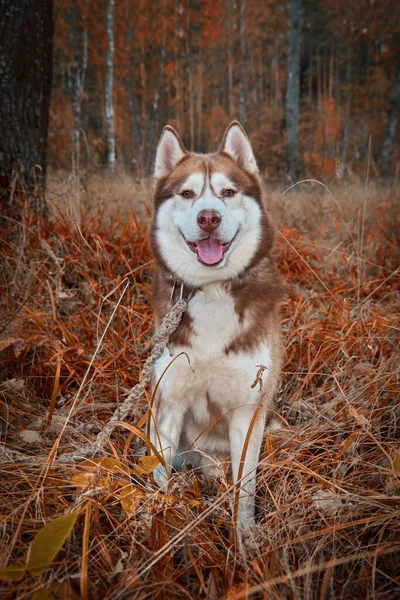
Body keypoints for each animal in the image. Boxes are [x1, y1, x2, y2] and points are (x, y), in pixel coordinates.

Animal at [150, 120, 282, 528]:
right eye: (187, 194)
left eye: (227, 192)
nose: (209, 217)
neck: (211, 291)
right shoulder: (168, 404)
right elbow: (157, 475)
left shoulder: (248, 412)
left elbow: (245, 490)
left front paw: (245, 537)